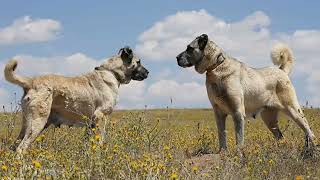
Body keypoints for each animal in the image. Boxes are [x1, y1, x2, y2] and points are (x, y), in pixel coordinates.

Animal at [4, 46, 149, 153]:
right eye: (138, 62)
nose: (148, 72)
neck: (111, 72)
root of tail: (31, 81)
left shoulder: (91, 123)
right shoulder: (101, 116)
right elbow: (100, 140)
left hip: (28, 124)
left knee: (14, 146)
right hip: (37, 122)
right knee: (21, 148)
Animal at [178, 34, 316, 157]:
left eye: (189, 48)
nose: (176, 57)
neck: (216, 67)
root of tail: (281, 71)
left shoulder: (237, 113)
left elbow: (239, 137)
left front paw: (239, 154)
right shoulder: (219, 114)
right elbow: (222, 134)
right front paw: (222, 152)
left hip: (293, 110)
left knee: (308, 131)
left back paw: (312, 151)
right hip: (269, 119)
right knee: (281, 137)